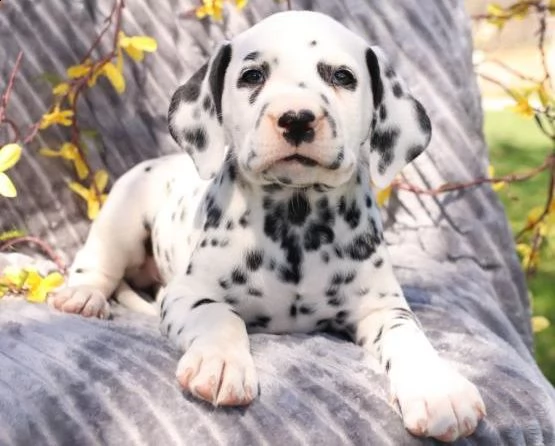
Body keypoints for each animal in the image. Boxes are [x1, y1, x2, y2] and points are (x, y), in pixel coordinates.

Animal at [51, 11, 486, 442]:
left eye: (342, 76)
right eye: (252, 75)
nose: (296, 118)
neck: (296, 220)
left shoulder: (382, 307)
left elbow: (409, 336)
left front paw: (437, 388)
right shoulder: (187, 293)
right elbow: (221, 318)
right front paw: (220, 363)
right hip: (121, 218)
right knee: (97, 264)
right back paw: (83, 296)